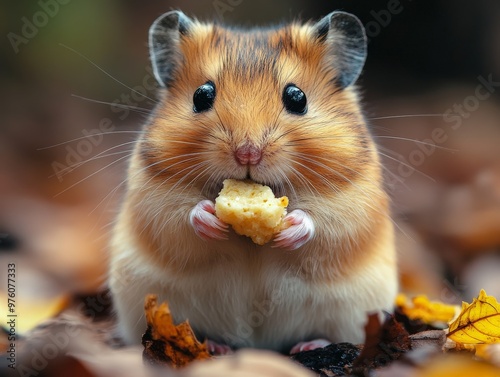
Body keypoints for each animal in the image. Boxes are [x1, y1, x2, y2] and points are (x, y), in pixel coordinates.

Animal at [109, 9, 398, 352]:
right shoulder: (153, 195)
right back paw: (215, 345)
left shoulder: (352, 202)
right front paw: (210, 220)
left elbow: (323, 224)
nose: (248, 153)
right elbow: (179, 218)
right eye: (201, 95)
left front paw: (290, 230)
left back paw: (309, 346)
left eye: (297, 97)